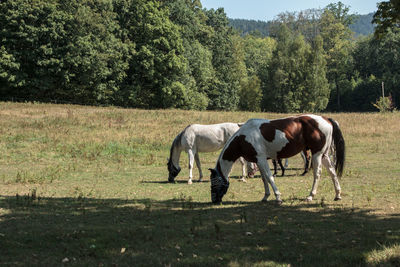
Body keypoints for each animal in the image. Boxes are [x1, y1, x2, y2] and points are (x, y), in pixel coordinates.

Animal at [209, 115, 344, 205]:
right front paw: (265, 196)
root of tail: (326, 119)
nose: (214, 200)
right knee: (332, 172)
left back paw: (310, 196)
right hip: (324, 155)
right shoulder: (258, 161)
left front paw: (278, 197)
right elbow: (264, 179)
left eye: (214, 182)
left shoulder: (262, 159)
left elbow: (269, 177)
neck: (244, 137)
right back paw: (337, 194)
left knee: (317, 174)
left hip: (317, 154)